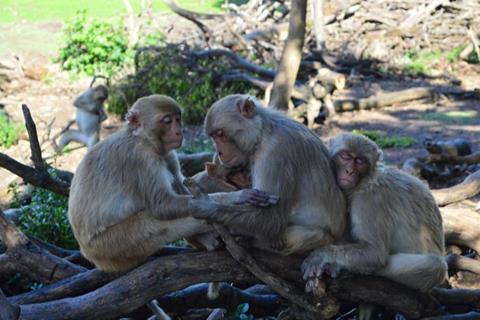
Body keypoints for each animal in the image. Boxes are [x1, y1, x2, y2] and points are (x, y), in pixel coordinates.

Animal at [67, 94, 278, 272]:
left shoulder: (167, 152)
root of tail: (90, 255)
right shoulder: (141, 159)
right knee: (156, 224)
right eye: (167, 121)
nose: (179, 132)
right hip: (112, 246)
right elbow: (162, 206)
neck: (143, 140)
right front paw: (238, 196)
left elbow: (182, 185)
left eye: (178, 118)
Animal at [189, 94, 346, 254]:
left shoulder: (274, 152)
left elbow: (271, 220)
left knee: (309, 236)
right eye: (213, 136)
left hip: (324, 239)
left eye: (220, 134)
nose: (219, 152)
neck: (264, 131)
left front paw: (206, 206)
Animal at [302, 133, 448, 296]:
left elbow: (375, 253)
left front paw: (322, 255)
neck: (364, 181)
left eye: (360, 161)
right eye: (346, 156)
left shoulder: (369, 201)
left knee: (436, 267)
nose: (349, 171)